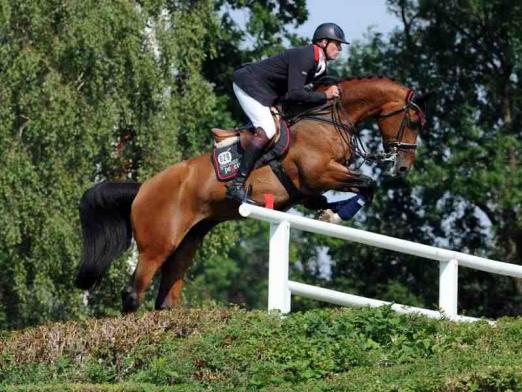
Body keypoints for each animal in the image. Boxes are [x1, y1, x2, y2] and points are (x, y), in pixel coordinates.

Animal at [75, 76, 428, 312]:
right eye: (412, 121)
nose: (403, 167)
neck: (329, 120)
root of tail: (143, 188)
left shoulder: (315, 184)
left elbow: (359, 187)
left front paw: (329, 210)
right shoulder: (319, 173)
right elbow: (368, 183)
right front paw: (336, 214)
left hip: (187, 242)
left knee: (166, 297)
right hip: (157, 245)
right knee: (133, 293)